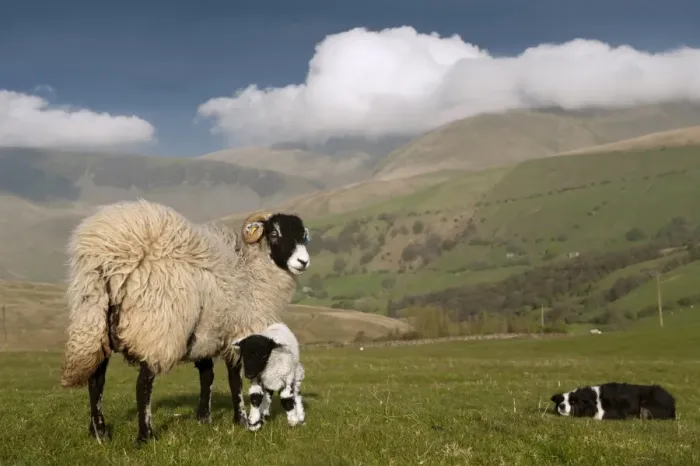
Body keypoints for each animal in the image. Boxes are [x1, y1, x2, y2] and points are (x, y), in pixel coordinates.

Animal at [58, 199, 312, 445]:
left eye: (302, 236)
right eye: (274, 233)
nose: (303, 262)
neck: (251, 272)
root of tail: (104, 254)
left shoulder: (206, 331)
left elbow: (207, 374)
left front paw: (204, 417)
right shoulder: (239, 331)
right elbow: (234, 379)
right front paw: (241, 419)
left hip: (95, 317)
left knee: (96, 379)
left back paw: (99, 432)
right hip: (159, 326)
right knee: (143, 384)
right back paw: (145, 435)